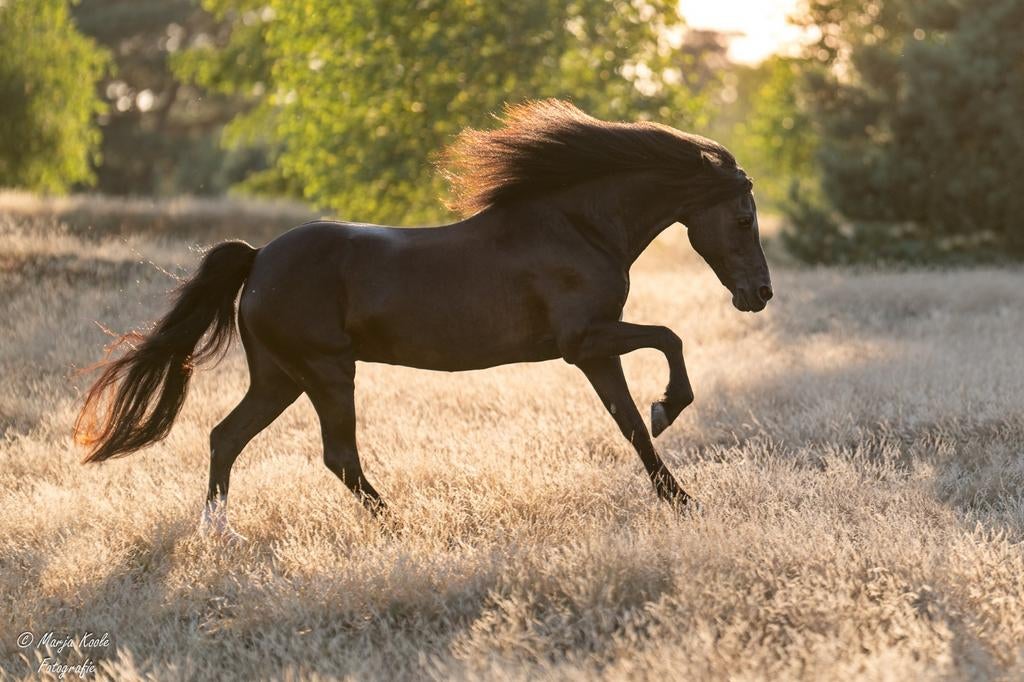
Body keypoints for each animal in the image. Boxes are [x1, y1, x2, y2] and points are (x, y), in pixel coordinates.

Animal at [74, 99, 772, 539]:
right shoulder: (585, 341)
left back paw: (220, 534)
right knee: (337, 456)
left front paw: (680, 499)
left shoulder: (595, 353)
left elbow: (629, 426)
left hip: (280, 377)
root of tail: (258, 258)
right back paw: (398, 524)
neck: (577, 227)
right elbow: (668, 344)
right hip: (326, 373)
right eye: (743, 218)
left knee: (226, 437)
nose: (759, 294)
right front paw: (669, 413)